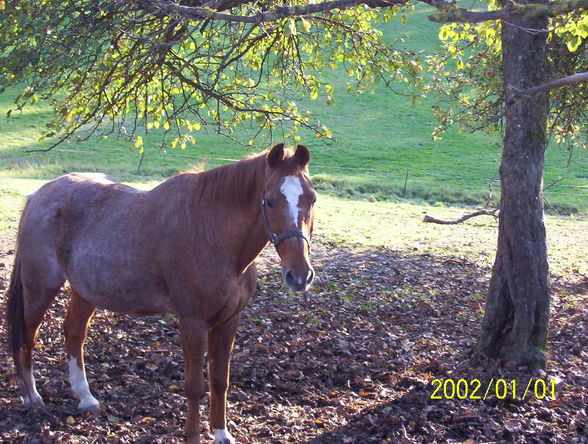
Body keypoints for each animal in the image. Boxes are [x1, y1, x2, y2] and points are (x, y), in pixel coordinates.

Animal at [5, 144, 316, 442]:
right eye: (270, 201)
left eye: (311, 199)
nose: (299, 275)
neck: (212, 233)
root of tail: (40, 194)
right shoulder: (192, 323)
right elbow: (194, 386)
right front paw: (193, 437)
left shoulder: (229, 321)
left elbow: (220, 381)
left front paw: (221, 433)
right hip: (40, 287)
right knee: (28, 335)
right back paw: (32, 397)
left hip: (85, 291)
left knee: (73, 332)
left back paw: (85, 398)